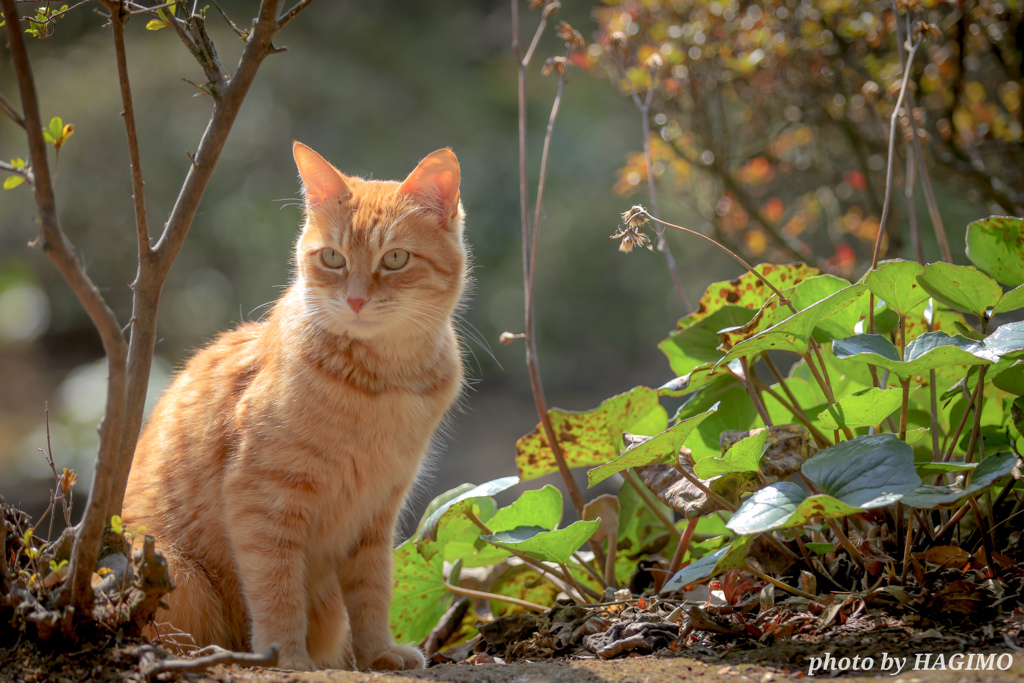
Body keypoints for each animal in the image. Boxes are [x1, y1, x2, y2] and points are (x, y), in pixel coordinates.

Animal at [121, 140, 466, 671]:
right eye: (332, 258)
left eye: (395, 259)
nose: (356, 301)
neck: (381, 384)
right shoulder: (263, 499)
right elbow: (276, 588)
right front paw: (287, 657)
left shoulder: (377, 513)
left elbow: (373, 590)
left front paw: (378, 653)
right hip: (178, 572)